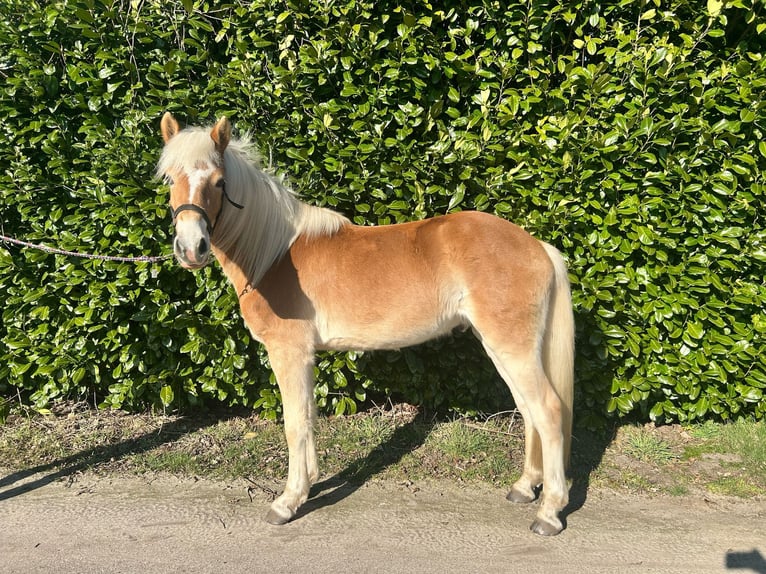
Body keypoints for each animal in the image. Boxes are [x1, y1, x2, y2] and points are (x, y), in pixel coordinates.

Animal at [158, 113, 576, 540]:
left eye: (219, 182)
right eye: (169, 179)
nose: (191, 249)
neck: (273, 253)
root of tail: (539, 247)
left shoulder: (289, 352)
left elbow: (295, 423)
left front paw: (287, 502)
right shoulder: (304, 357)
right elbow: (308, 417)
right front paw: (308, 485)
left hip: (512, 347)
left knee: (548, 410)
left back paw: (549, 512)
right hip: (500, 346)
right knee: (528, 410)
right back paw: (524, 487)